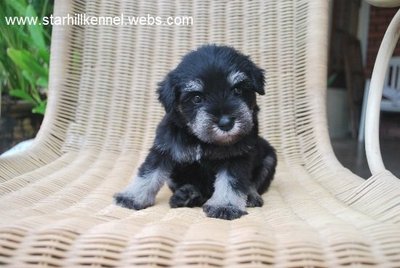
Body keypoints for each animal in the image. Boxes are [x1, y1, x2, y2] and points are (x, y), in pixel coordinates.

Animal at [113, 44, 276, 220]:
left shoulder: (237, 156)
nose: (226, 123)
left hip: (269, 158)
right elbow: (148, 173)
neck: (200, 140)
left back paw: (250, 196)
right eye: (197, 98)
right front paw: (131, 197)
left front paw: (225, 205)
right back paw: (187, 195)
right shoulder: (163, 150)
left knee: (253, 184)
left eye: (238, 90)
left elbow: (231, 181)